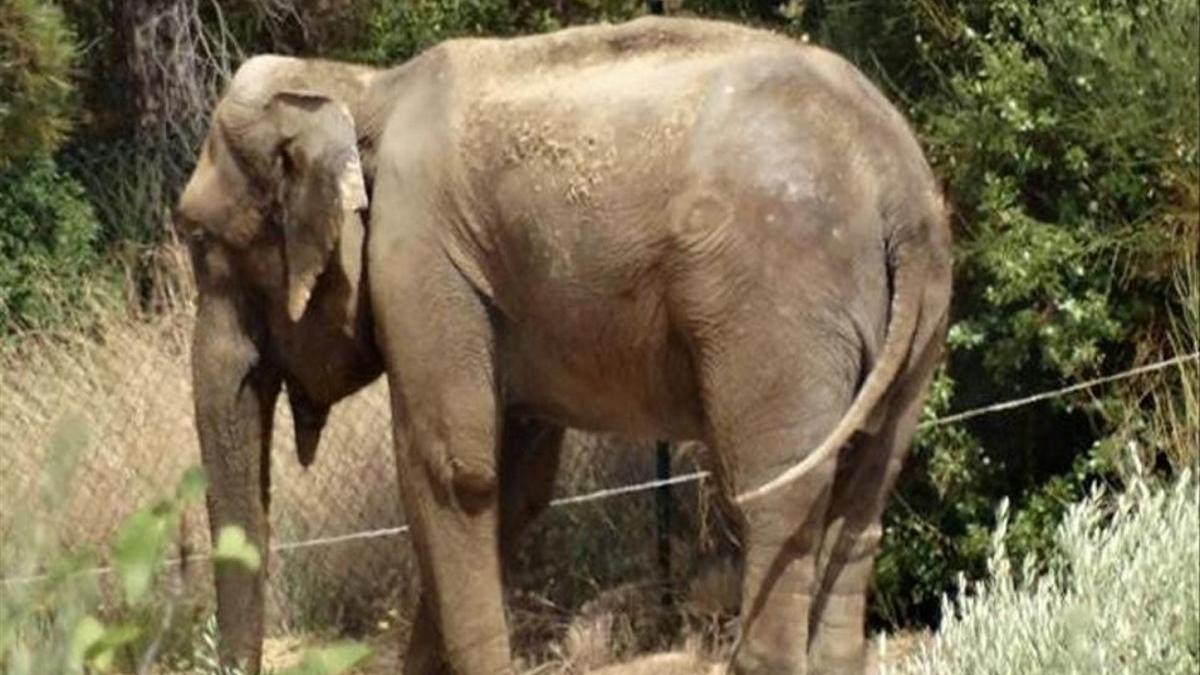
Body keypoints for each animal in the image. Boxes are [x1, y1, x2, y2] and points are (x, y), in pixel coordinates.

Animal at [174, 15, 950, 672]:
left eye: (198, 238)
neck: (360, 87)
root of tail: (898, 186)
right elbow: (515, 483)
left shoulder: (420, 259)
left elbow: (451, 472)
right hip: (917, 320)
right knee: (867, 490)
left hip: (775, 305)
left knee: (779, 493)